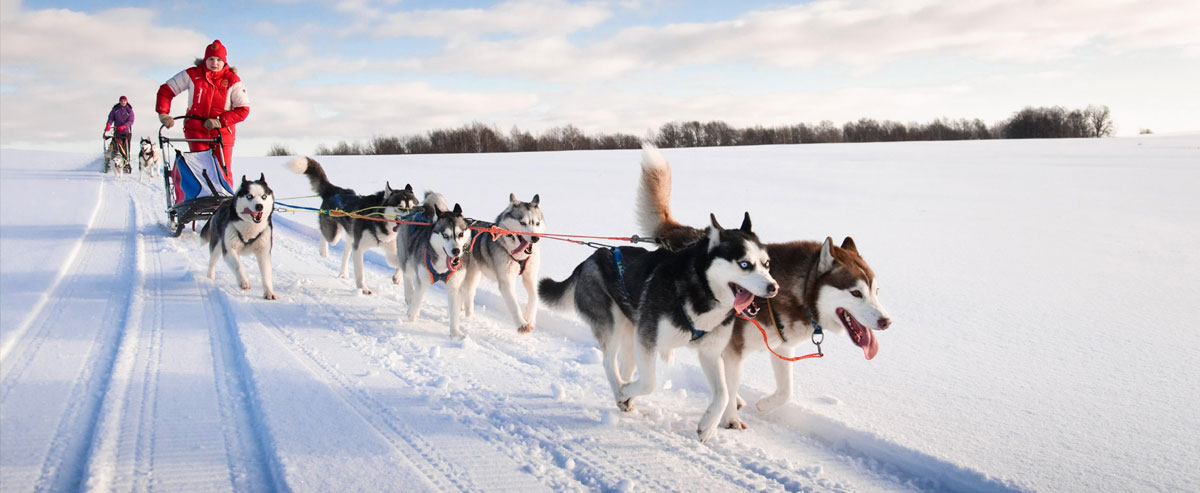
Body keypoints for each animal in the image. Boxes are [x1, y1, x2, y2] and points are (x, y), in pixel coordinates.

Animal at [201, 173, 278, 301]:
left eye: (264, 196)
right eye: (249, 196)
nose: (259, 206)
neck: (250, 229)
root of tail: (222, 203)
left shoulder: (264, 252)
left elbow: (266, 274)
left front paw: (269, 292)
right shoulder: (229, 250)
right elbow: (238, 266)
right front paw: (244, 281)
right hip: (217, 246)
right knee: (212, 262)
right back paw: (209, 277)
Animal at [288, 157, 420, 293]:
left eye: (413, 206)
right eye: (400, 207)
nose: (413, 219)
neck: (380, 222)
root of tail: (334, 190)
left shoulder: (390, 248)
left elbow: (400, 262)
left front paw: (397, 277)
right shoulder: (359, 248)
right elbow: (360, 272)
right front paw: (363, 288)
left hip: (351, 237)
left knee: (346, 253)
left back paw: (343, 273)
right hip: (334, 235)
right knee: (325, 234)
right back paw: (323, 250)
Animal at [460, 193, 547, 335]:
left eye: (537, 223)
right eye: (522, 223)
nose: (535, 238)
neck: (519, 256)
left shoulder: (530, 277)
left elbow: (534, 296)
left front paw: (529, 318)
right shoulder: (506, 281)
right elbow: (514, 304)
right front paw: (522, 324)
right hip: (472, 276)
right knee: (468, 292)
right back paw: (470, 317)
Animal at [537, 143, 777, 443]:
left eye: (766, 264)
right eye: (745, 264)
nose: (773, 287)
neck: (700, 292)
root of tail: (591, 258)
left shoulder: (710, 352)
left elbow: (722, 393)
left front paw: (708, 425)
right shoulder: (648, 340)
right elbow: (649, 382)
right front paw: (627, 391)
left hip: (630, 331)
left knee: (624, 365)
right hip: (613, 326)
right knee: (608, 362)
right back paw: (621, 391)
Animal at [638, 142, 892, 429]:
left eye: (875, 291)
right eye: (856, 293)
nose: (886, 321)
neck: (796, 294)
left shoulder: (782, 347)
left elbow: (785, 391)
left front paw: (763, 405)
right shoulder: (733, 350)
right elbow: (729, 386)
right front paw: (730, 419)